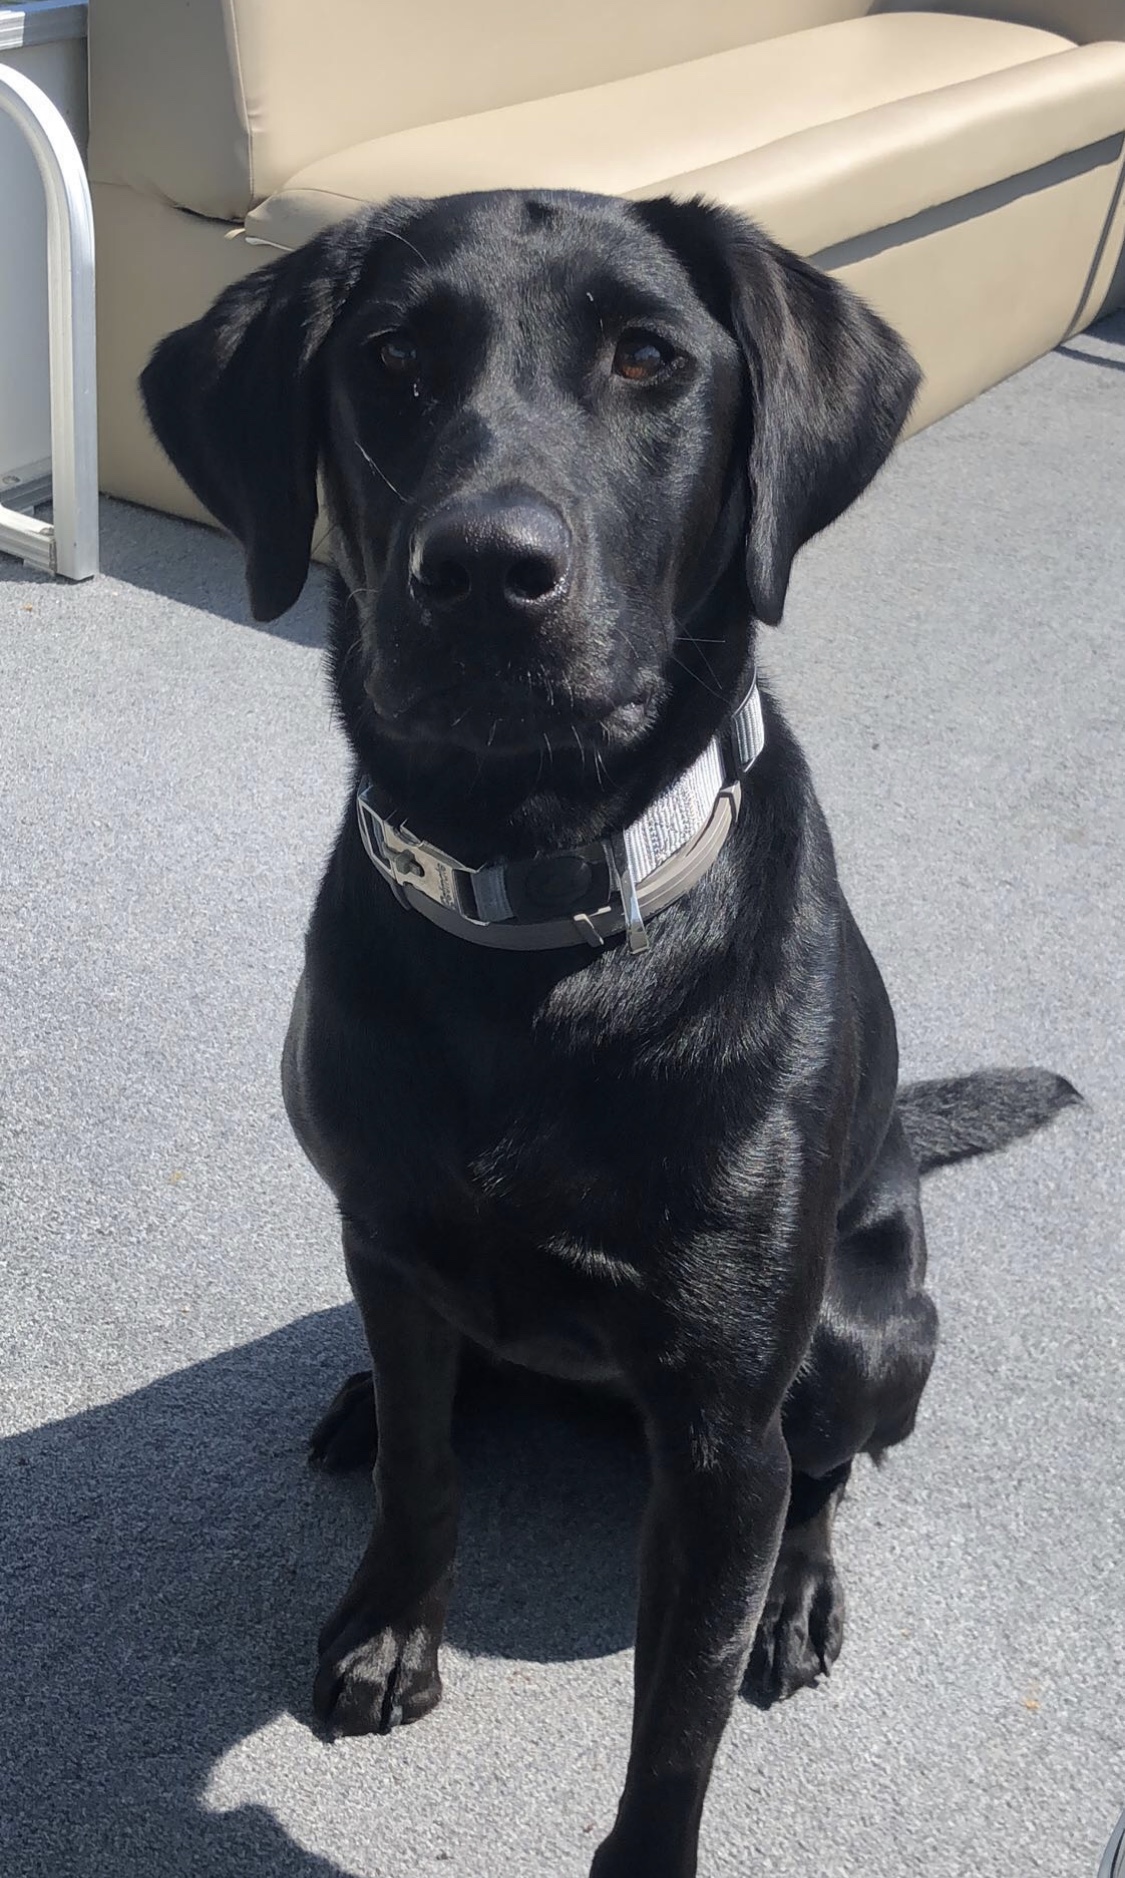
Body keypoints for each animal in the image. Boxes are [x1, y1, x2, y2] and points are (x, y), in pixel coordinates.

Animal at [142, 194, 1081, 1878]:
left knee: (828, 1471)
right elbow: (424, 1468)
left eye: (649, 358)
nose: (482, 568)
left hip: (862, 1339)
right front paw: (392, 1623)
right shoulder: (387, 1239)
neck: (536, 917)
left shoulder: (717, 1434)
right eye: (390, 360)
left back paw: (800, 1595)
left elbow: (677, 1710)